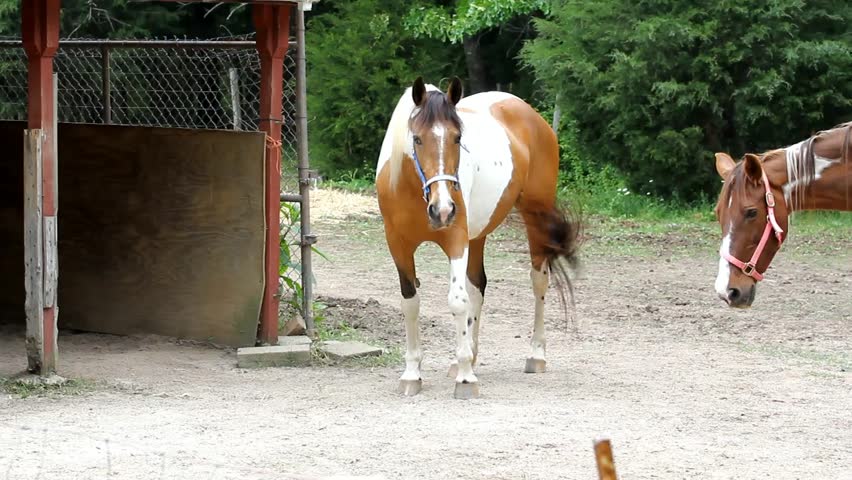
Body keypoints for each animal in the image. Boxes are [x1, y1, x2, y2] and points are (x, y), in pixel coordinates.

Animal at [375, 77, 580, 399]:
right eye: (417, 139)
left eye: (458, 138)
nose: (443, 209)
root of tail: (532, 115)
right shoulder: (398, 245)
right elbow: (411, 303)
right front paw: (412, 374)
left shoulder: (456, 240)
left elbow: (458, 301)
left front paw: (466, 379)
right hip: (478, 234)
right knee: (478, 286)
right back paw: (468, 356)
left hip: (535, 217)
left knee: (538, 281)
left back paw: (535, 355)